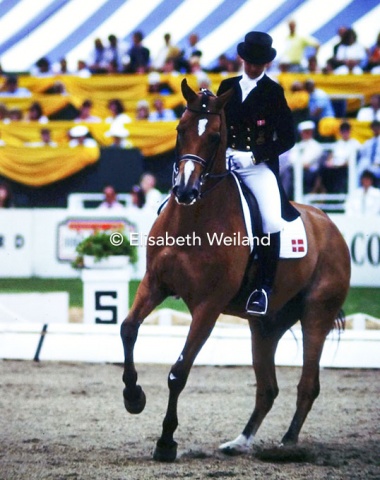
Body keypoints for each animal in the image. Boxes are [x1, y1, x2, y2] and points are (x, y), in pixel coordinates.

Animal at [121, 78, 350, 462]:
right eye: (180, 129)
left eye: (215, 136)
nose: (185, 190)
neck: (193, 220)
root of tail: (330, 225)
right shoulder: (154, 284)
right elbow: (128, 329)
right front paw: (133, 397)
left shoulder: (208, 307)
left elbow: (179, 372)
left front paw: (166, 442)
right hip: (265, 326)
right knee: (267, 388)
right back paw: (239, 442)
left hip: (316, 315)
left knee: (307, 385)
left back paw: (288, 444)